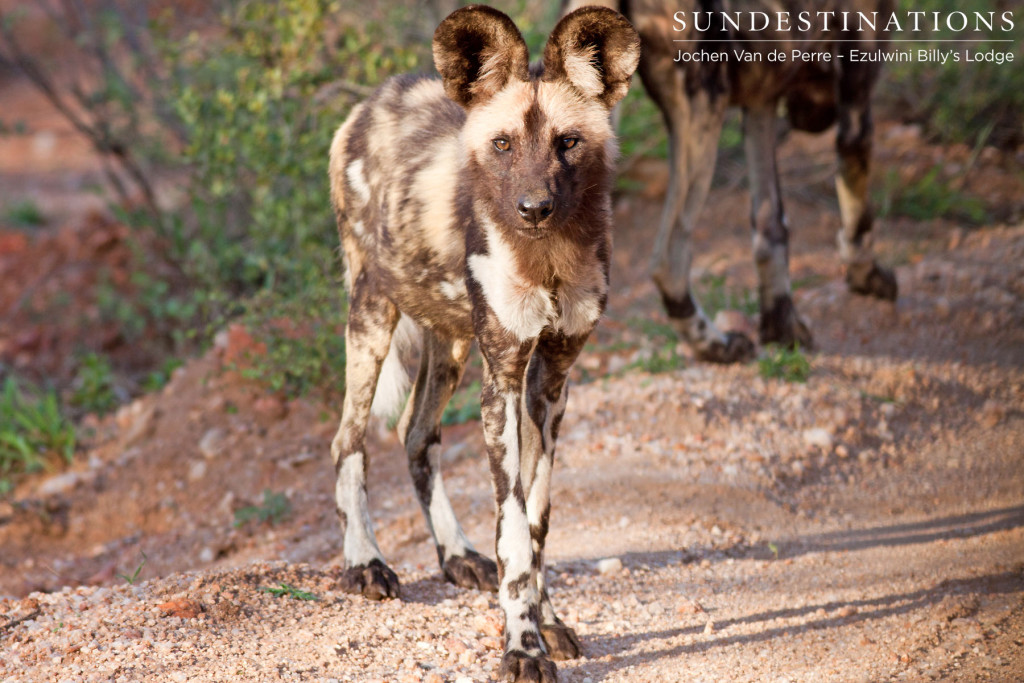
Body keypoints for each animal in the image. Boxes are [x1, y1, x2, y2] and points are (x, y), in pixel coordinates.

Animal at [327, 6, 634, 683]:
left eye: (567, 142)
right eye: (503, 145)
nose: (533, 208)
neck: (548, 259)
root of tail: (370, 102)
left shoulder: (550, 384)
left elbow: (536, 522)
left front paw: (546, 624)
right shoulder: (505, 384)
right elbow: (514, 531)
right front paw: (522, 648)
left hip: (450, 342)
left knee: (416, 435)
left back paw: (456, 553)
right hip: (373, 314)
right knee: (348, 443)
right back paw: (365, 562)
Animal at [569, 0, 897, 362]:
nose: (812, 118)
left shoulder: (761, 103)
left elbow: (771, 227)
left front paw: (782, 326)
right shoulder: (860, 71)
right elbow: (858, 211)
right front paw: (866, 275)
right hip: (705, 108)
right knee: (668, 261)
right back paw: (717, 344)